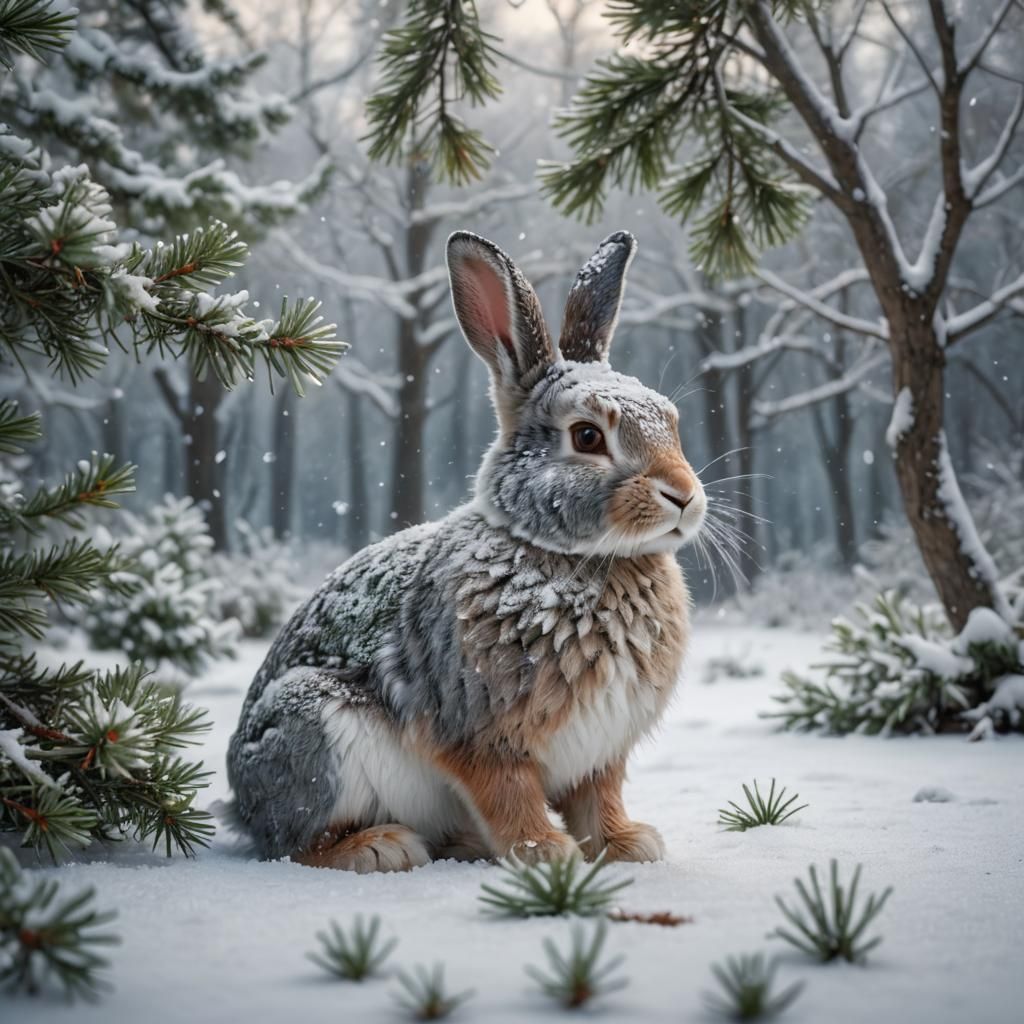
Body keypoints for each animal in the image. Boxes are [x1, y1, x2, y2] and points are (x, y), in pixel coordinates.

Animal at [227, 229, 707, 873]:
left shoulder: (602, 749)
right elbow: (509, 794)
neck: (567, 557)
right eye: (586, 436)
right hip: (314, 730)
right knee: (295, 845)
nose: (684, 495)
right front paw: (545, 854)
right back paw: (381, 847)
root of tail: (240, 801)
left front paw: (628, 844)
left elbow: (597, 799)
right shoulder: (480, 734)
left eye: (671, 422)